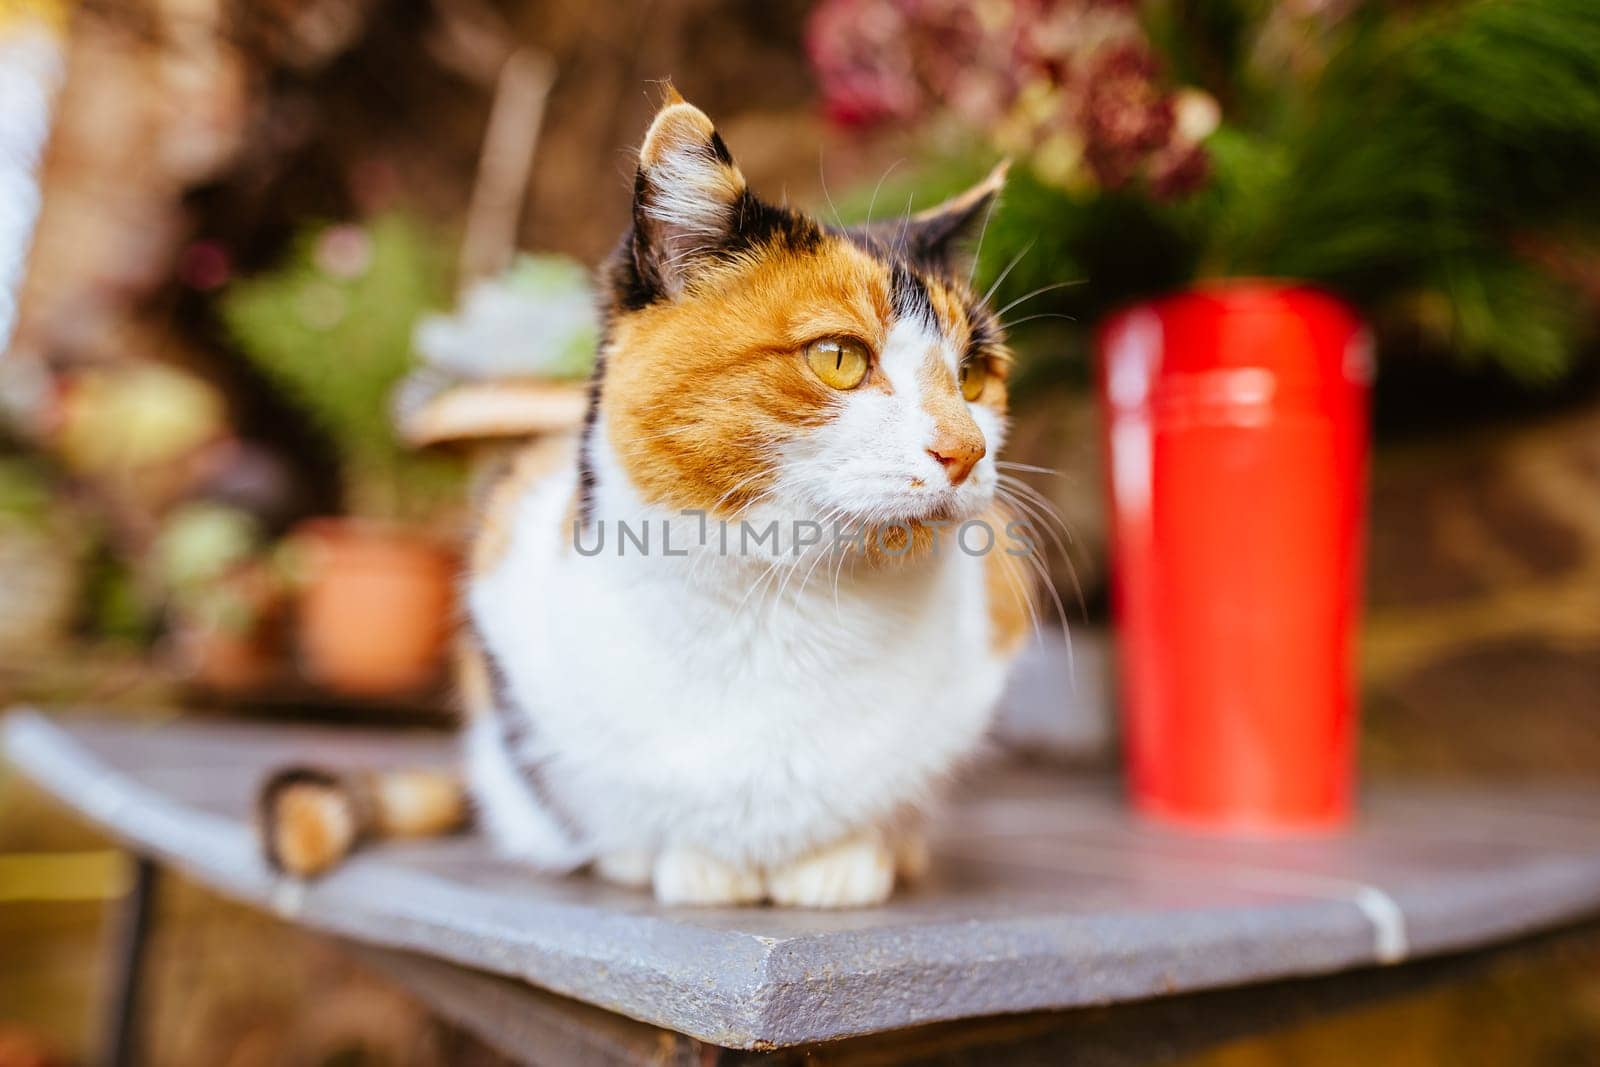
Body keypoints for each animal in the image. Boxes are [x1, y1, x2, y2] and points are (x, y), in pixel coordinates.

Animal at [259, 93, 1036, 908]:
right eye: (839, 359)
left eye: (974, 375)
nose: (968, 449)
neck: (781, 603)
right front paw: (687, 861)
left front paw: (845, 857)